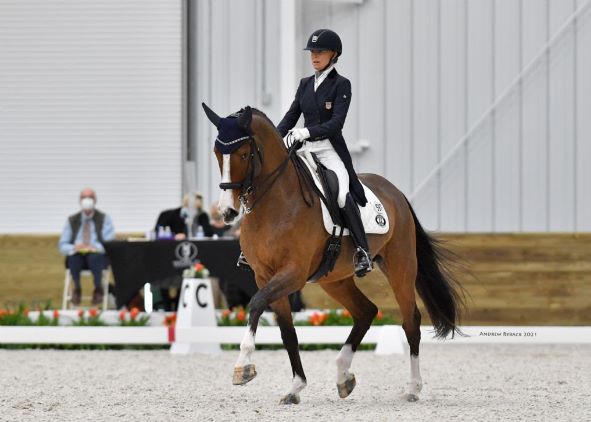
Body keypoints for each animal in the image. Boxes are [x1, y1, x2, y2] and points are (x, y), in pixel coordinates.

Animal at [204, 104, 468, 404]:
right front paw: (295, 388)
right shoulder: (265, 276)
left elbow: (256, 303)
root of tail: (396, 192)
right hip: (335, 280)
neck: (275, 203)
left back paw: (412, 388)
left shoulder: (292, 274)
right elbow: (288, 332)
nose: (227, 213)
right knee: (366, 311)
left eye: (244, 154)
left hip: (400, 266)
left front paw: (244, 367)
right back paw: (343, 376)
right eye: (217, 153)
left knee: (410, 321)